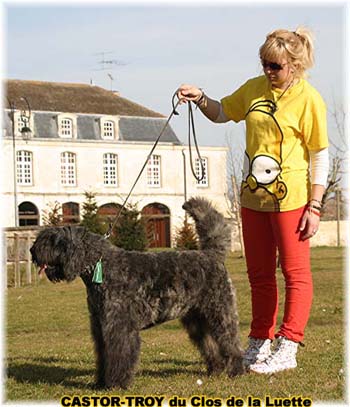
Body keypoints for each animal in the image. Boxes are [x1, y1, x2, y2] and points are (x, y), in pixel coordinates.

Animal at [30, 199, 243, 390]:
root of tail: (211, 255)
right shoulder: (100, 326)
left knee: (230, 341)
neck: (101, 265)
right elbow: (103, 355)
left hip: (220, 312)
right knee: (210, 344)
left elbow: (119, 356)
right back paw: (216, 369)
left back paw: (236, 370)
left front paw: (116, 384)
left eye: (53, 240)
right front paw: (100, 382)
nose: (32, 250)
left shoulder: (119, 327)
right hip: (197, 319)